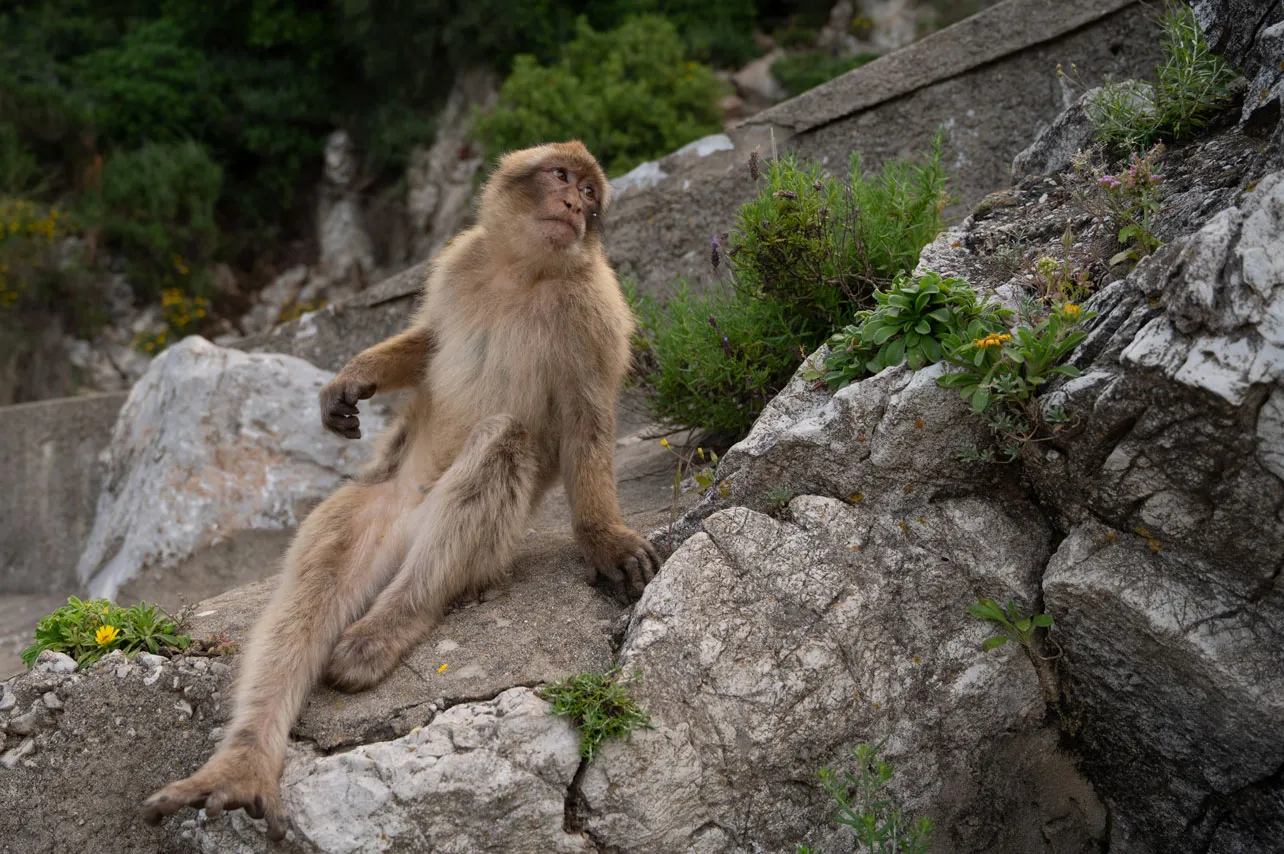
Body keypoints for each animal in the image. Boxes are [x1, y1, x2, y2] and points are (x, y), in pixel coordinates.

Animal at [141, 141, 661, 840]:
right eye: (562, 176)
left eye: (590, 196)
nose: (577, 206)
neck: (524, 273)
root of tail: (407, 521)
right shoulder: (461, 261)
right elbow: (430, 339)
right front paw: (350, 379)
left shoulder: (596, 314)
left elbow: (586, 423)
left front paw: (605, 538)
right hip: (367, 510)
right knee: (313, 582)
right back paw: (244, 762)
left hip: (471, 544)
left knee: (500, 450)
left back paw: (381, 633)